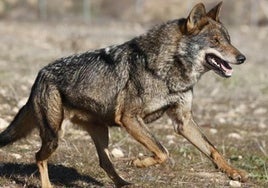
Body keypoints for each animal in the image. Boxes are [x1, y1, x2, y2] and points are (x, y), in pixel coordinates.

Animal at [0, 1, 247, 188]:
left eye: (229, 40)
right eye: (216, 41)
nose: (242, 58)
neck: (169, 70)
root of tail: (40, 74)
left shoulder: (182, 121)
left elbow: (212, 149)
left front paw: (233, 172)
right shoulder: (129, 118)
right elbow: (163, 151)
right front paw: (138, 163)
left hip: (101, 134)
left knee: (105, 163)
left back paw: (124, 183)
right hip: (54, 137)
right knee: (38, 157)